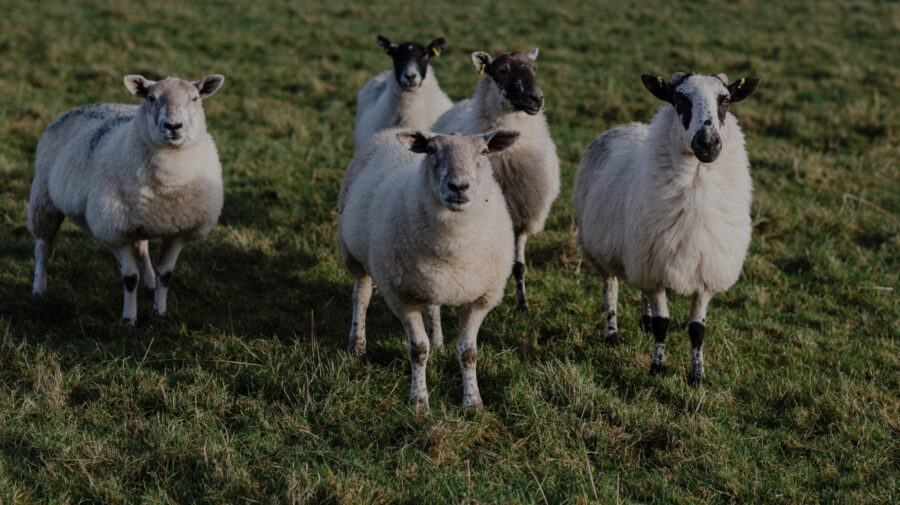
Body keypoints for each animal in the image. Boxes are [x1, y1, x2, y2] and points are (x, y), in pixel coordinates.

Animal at [28, 73, 227, 324]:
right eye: (151, 98)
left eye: (194, 98)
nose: (173, 126)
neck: (169, 181)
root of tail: (82, 106)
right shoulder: (114, 231)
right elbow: (130, 279)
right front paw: (129, 319)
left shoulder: (178, 231)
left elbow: (166, 275)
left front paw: (159, 312)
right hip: (44, 199)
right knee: (42, 246)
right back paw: (39, 289)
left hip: (135, 218)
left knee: (141, 247)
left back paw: (150, 284)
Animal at [340, 128, 520, 412]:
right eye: (432, 150)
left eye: (483, 152)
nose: (459, 186)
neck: (453, 246)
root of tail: (391, 131)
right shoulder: (401, 296)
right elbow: (418, 350)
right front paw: (419, 402)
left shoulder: (481, 298)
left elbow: (469, 352)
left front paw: (473, 402)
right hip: (353, 254)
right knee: (362, 296)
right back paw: (357, 345)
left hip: (429, 279)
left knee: (432, 306)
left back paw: (439, 343)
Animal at [430, 49, 564, 314]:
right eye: (502, 71)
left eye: (534, 68)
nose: (537, 99)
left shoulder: (521, 216)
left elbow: (519, 267)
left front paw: (523, 306)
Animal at [572, 72, 756, 382]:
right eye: (679, 99)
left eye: (725, 100)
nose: (708, 143)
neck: (696, 185)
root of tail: (626, 126)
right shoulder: (654, 267)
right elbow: (663, 322)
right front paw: (657, 368)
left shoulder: (703, 270)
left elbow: (697, 329)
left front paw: (698, 376)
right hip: (601, 249)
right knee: (611, 288)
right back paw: (612, 334)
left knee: (640, 290)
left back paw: (643, 322)